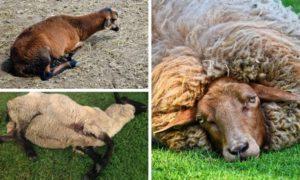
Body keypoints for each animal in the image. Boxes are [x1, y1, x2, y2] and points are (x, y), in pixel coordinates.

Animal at [0, 92, 146, 179]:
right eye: (126, 98)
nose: (145, 106)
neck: (111, 120)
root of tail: (10, 103)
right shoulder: (90, 127)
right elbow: (111, 145)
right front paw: (92, 174)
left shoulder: (81, 144)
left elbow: (97, 156)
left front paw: (92, 172)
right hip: (26, 112)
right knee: (19, 134)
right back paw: (32, 154)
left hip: (18, 120)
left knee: (13, 135)